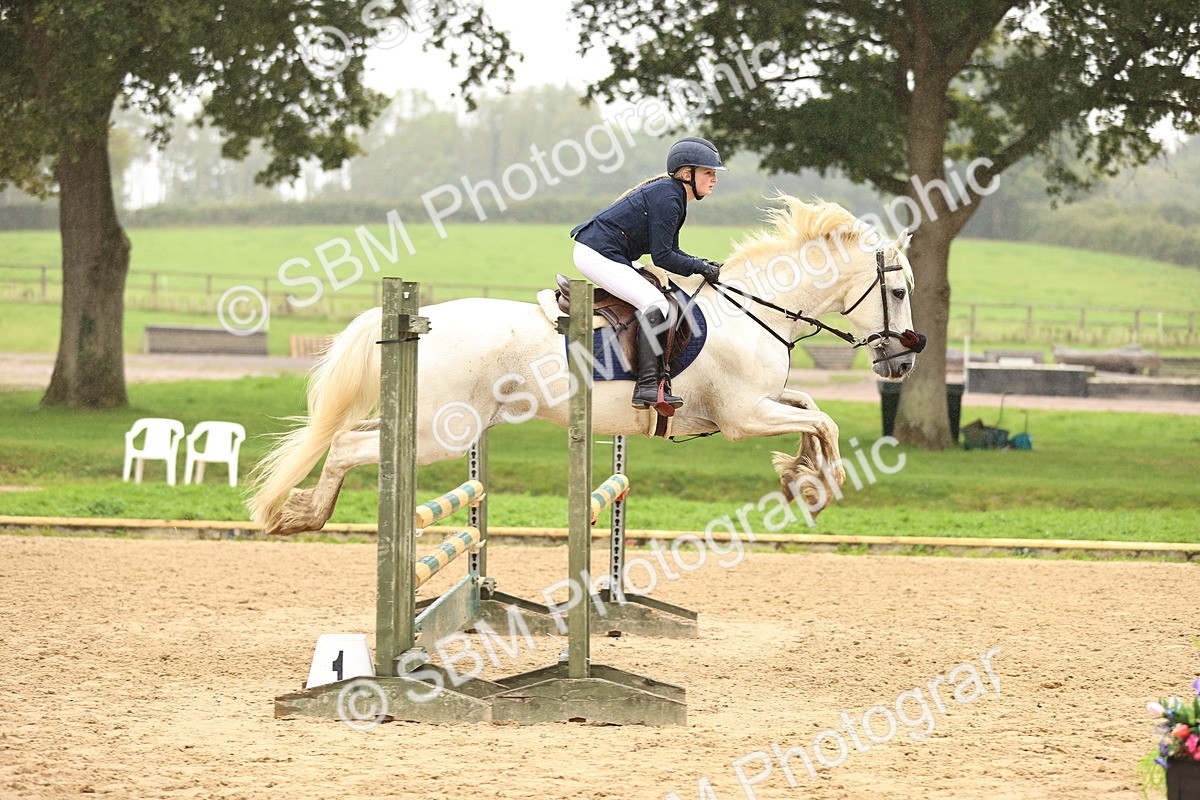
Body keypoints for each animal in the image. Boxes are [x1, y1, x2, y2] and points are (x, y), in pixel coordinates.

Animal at [248, 196, 922, 536]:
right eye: (898, 291)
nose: (902, 360)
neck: (752, 310)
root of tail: (422, 320)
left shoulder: (759, 406)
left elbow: (813, 410)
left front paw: (797, 474)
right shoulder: (742, 417)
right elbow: (824, 424)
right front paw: (817, 487)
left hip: (427, 422)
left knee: (348, 440)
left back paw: (299, 512)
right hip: (444, 434)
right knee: (348, 447)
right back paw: (303, 515)